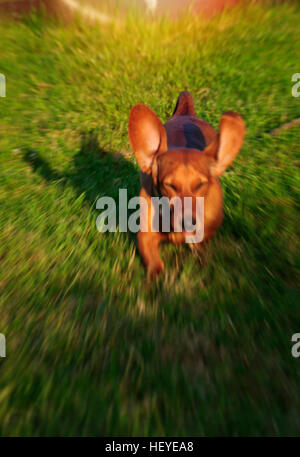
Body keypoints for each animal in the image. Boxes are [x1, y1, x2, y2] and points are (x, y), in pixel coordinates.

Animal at [127, 91, 245, 276]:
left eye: (201, 185)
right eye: (170, 186)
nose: (189, 222)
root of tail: (186, 112)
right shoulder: (145, 236)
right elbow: (153, 262)